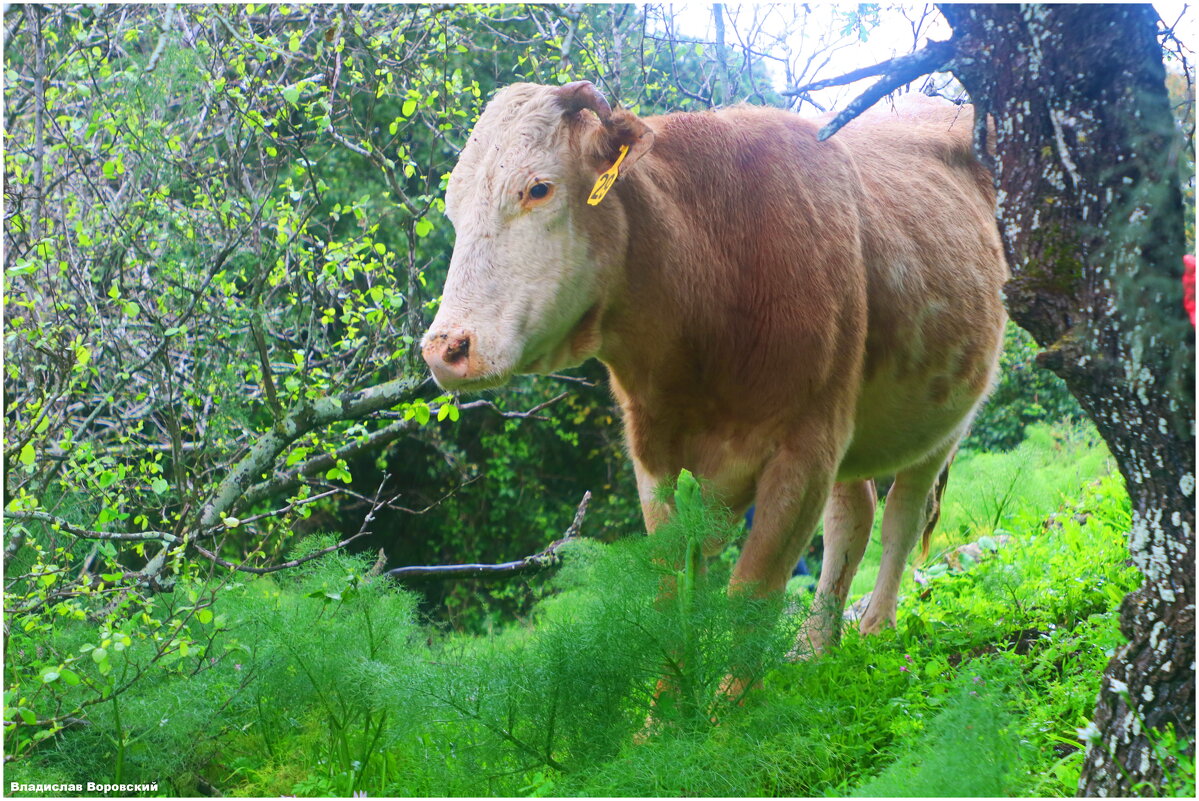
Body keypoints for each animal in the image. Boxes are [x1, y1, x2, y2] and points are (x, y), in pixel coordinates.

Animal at [422, 81, 1011, 652]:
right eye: (452, 209)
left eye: (538, 188)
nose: (444, 349)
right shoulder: (654, 452)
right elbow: (670, 590)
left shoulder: (805, 451)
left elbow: (751, 595)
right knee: (854, 514)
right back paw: (813, 647)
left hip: (942, 423)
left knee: (902, 515)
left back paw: (875, 628)